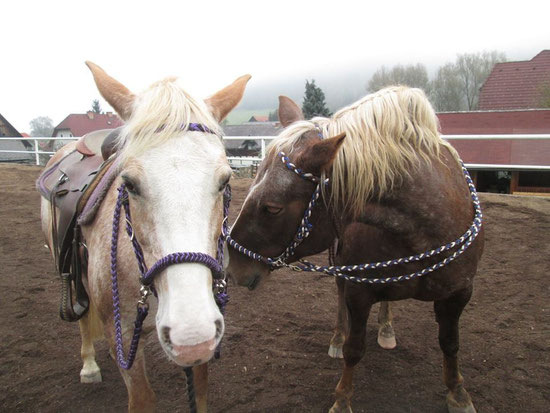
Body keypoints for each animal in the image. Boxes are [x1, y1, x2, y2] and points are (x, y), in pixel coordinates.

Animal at [41, 62, 252, 412]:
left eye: (225, 181)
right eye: (129, 183)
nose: (190, 335)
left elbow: (201, 391)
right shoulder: (125, 332)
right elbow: (141, 397)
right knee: (83, 315)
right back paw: (89, 365)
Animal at [224, 85, 484, 410]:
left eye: (272, 208)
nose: (233, 267)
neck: (424, 229)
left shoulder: (460, 293)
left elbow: (450, 343)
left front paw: (458, 393)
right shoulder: (359, 290)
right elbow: (354, 348)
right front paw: (342, 398)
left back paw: (386, 328)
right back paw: (337, 337)